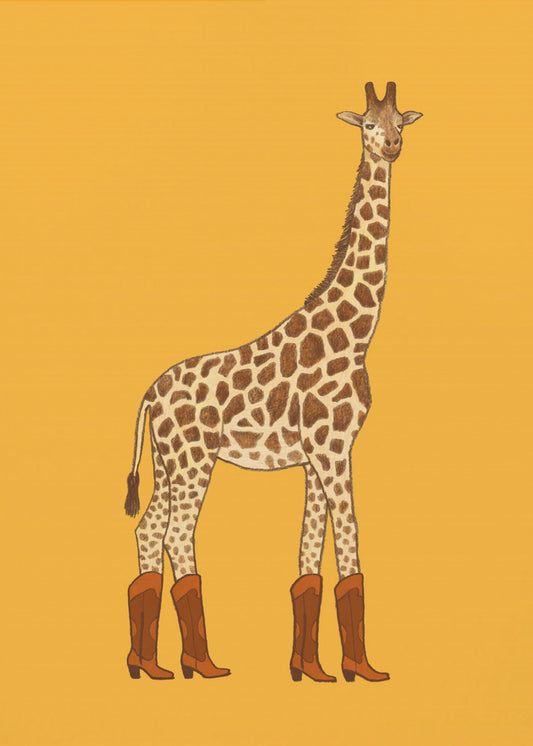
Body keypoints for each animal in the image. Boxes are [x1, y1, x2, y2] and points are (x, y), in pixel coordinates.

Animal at [124, 81, 422, 682]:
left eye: (400, 121)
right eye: (367, 125)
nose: (392, 147)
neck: (357, 333)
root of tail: (149, 396)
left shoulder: (315, 456)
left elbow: (309, 558)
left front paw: (311, 669)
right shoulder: (333, 447)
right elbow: (350, 543)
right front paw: (362, 669)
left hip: (167, 463)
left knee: (148, 530)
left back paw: (150, 665)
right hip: (195, 459)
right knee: (176, 534)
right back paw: (202, 664)